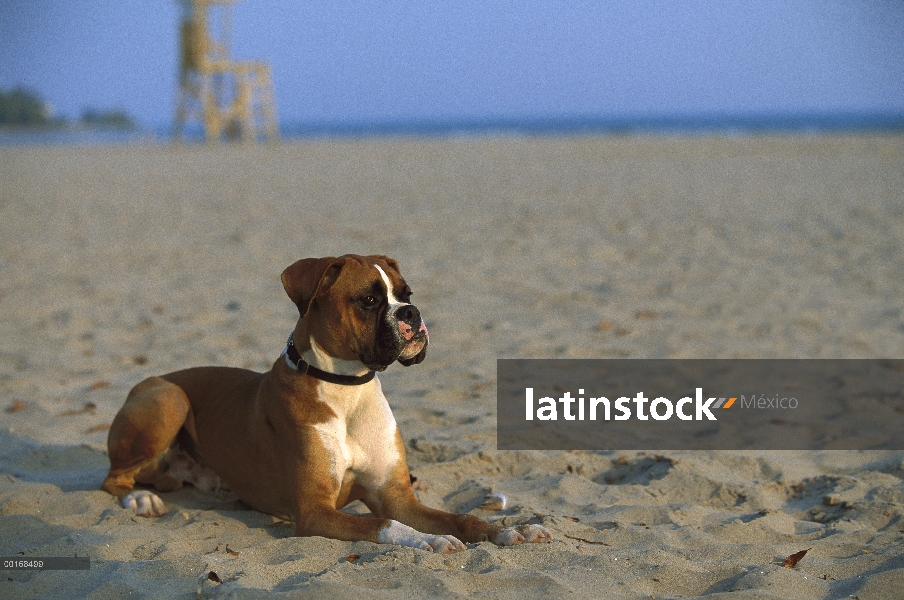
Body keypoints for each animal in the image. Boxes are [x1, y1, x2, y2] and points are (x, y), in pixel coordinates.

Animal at [99, 253, 552, 552]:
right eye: (369, 300)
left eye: (407, 293)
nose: (412, 312)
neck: (347, 389)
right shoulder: (315, 510)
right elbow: (384, 524)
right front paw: (429, 540)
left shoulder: (397, 496)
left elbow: (459, 517)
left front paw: (507, 531)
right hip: (168, 396)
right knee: (112, 479)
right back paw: (140, 499)